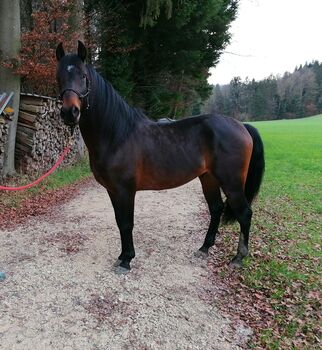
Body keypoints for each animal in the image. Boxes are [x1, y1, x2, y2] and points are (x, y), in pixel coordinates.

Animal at [56, 41, 266, 274]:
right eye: (58, 77)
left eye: (83, 76)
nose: (69, 112)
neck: (117, 135)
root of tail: (242, 125)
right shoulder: (113, 191)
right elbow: (120, 222)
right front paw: (121, 257)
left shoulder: (125, 190)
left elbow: (127, 223)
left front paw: (127, 261)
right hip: (208, 178)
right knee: (216, 209)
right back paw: (204, 248)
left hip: (232, 183)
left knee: (244, 213)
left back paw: (238, 257)